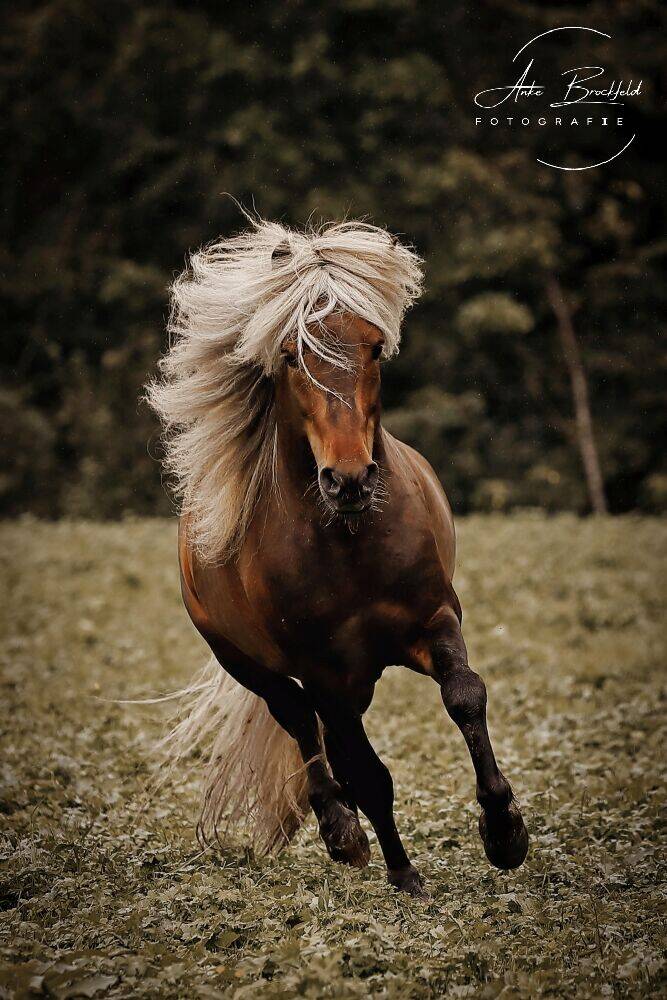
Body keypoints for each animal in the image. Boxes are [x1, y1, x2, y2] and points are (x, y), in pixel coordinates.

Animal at [147, 218, 528, 896]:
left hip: (359, 678)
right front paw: (403, 874)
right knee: (300, 721)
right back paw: (340, 830)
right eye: (290, 353)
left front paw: (505, 831)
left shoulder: (434, 620)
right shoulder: (322, 667)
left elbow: (465, 696)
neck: (350, 545)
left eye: (374, 347)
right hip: (253, 662)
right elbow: (366, 769)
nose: (348, 480)